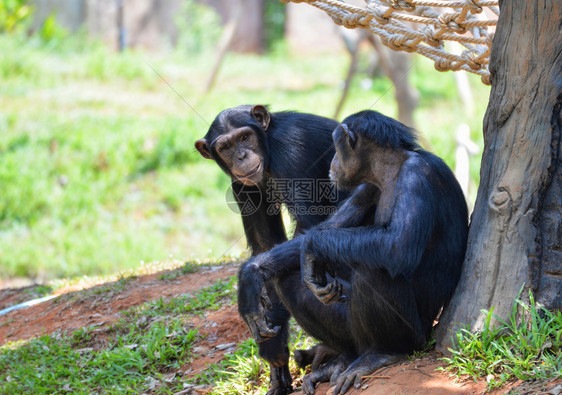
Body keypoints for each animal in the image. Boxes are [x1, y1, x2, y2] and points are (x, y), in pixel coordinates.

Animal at [195, 105, 346, 395]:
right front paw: (276, 358)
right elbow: (266, 243)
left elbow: (310, 225)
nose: (241, 156)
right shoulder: (241, 186)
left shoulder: (292, 149)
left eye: (244, 137)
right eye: (226, 147)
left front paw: (250, 280)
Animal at [237, 110, 468, 394]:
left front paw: (311, 248)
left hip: (415, 335)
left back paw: (381, 354)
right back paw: (340, 361)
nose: (332, 161)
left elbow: (397, 245)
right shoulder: (366, 188)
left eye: (336, 147)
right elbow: (330, 226)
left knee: (373, 269)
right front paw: (251, 276)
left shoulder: (418, 176)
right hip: (351, 330)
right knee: (287, 278)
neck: (390, 170)